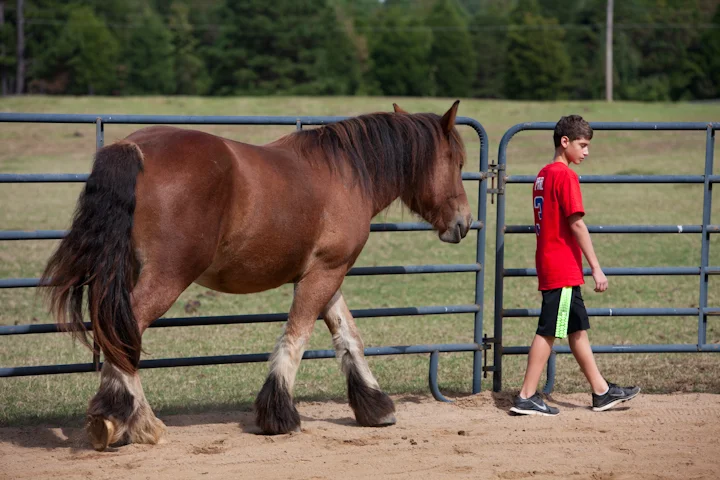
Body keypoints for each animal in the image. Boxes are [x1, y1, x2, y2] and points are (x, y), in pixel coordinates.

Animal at [41, 101, 473, 451]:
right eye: (457, 162)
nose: (464, 223)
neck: (345, 173)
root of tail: (135, 148)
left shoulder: (324, 275)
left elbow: (349, 336)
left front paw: (375, 407)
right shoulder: (325, 273)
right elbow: (296, 338)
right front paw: (279, 415)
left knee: (112, 327)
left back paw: (112, 418)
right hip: (167, 277)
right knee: (125, 328)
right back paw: (140, 424)